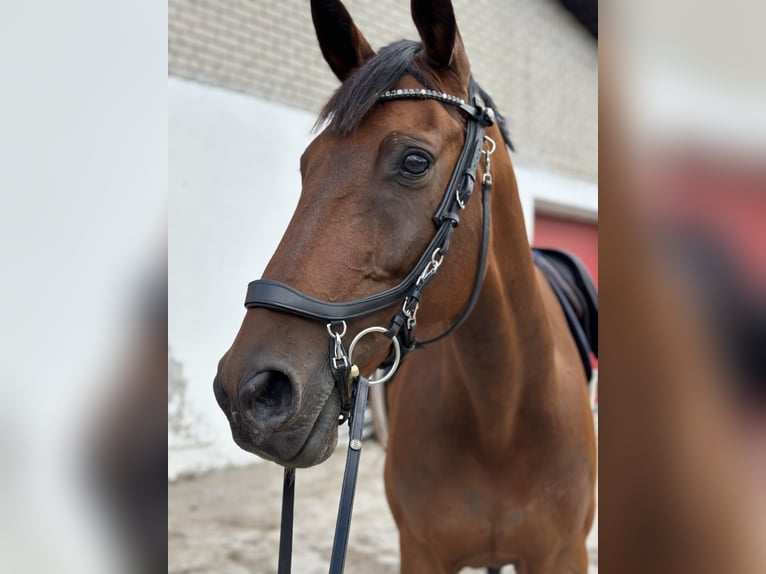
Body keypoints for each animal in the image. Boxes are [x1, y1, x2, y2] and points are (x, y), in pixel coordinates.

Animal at [214, 2, 600, 572]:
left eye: (414, 161)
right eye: (307, 165)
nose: (251, 389)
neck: (501, 416)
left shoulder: (563, 555)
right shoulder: (420, 552)